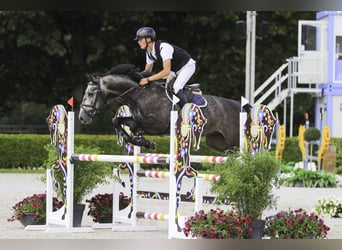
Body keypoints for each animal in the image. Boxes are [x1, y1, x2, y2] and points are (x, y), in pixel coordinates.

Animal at [79, 63, 242, 152]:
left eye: (91, 93)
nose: (82, 117)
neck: (139, 94)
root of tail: (239, 106)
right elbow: (118, 121)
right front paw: (140, 140)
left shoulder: (156, 125)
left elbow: (133, 124)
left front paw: (142, 140)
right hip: (217, 142)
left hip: (232, 138)